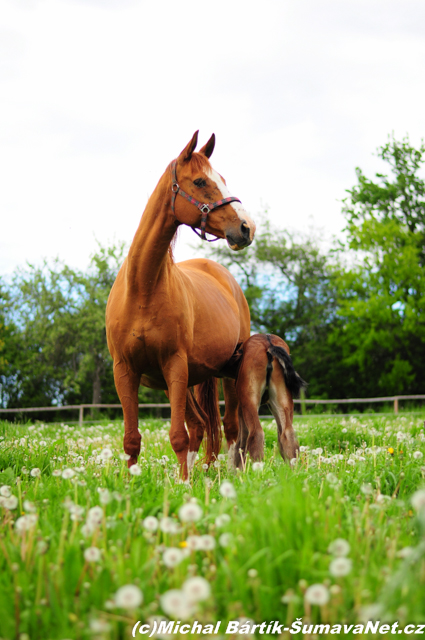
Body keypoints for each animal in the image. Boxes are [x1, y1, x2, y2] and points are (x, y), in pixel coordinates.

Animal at [105, 131, 255, 480]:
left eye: (221, 179)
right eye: (200, 181)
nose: (246, 227)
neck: (143, 287)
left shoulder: (175, 364)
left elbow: (177, 435)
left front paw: (184, 486)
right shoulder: (126, 371)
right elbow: (132, 439)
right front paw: (131, 485)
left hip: (225, 373)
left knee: (228, 426)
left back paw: (226, 474)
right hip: (183, 382)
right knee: (200, 425)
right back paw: (204, 469)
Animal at [224, 336, 306, 464]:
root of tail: (269, 342)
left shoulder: (242, 408)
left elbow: (240, 444)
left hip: (250, 401)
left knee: (256, 434)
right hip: (283, 401)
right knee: (288, 434)